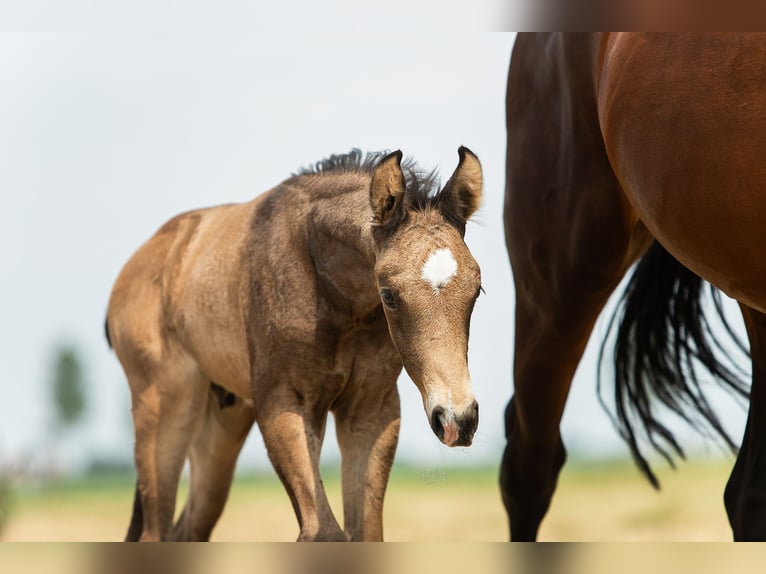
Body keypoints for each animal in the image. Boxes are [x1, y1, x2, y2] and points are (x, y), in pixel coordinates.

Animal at [105, 148, 484, 544]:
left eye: (476, 289)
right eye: (389, 295)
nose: (457, 419)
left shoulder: (370, 409)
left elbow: (365, 532)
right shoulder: (284, 402)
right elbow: (324, 532)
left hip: (221, 421)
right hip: (165, 408)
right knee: (154, 530)